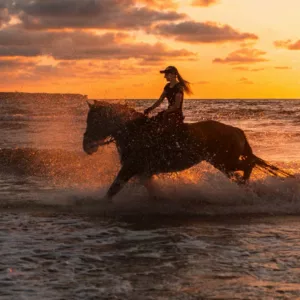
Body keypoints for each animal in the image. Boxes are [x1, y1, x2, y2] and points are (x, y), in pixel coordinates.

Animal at [82, 101, 292, 202]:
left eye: (93, 120)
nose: (86, 146)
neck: (135, 131)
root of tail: (237, 130)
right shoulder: (143, 171)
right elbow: (149, 188)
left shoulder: (130, 168)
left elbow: (113, 189)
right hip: (223, 164)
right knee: (246, 168)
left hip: (225, 162)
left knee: (248, 165)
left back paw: (247, 187)